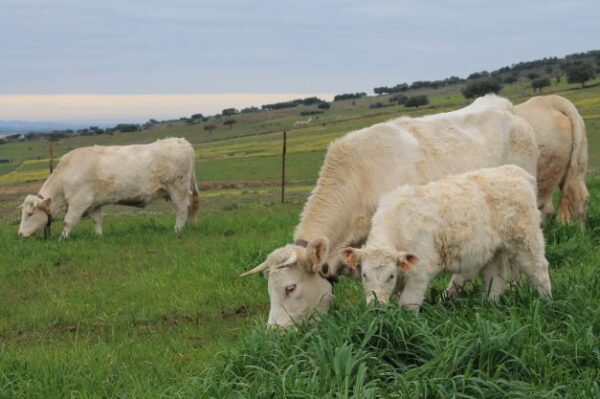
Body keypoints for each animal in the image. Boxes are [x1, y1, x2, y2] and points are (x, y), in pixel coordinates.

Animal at [17, 138, 200, 238]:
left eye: (30, 214)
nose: (19, 234)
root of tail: (182, 141)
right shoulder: (94, 204)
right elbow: (96, 221)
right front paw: (98, 236)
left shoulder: (79, 202)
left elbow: (68, 221)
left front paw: (62, 239)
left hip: (177, 188)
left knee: (182, 209)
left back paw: (177, 230)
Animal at [342, 166, 552, 310]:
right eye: (364, 275)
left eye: (390, 275)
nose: (376, 307)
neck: (398, 223)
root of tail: (516, 171)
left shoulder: (419, 273)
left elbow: (408, 304)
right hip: (493, 252)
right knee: (496, 279)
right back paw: (489, 306)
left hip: (526, 239)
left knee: (538, 269)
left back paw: (547, 302)